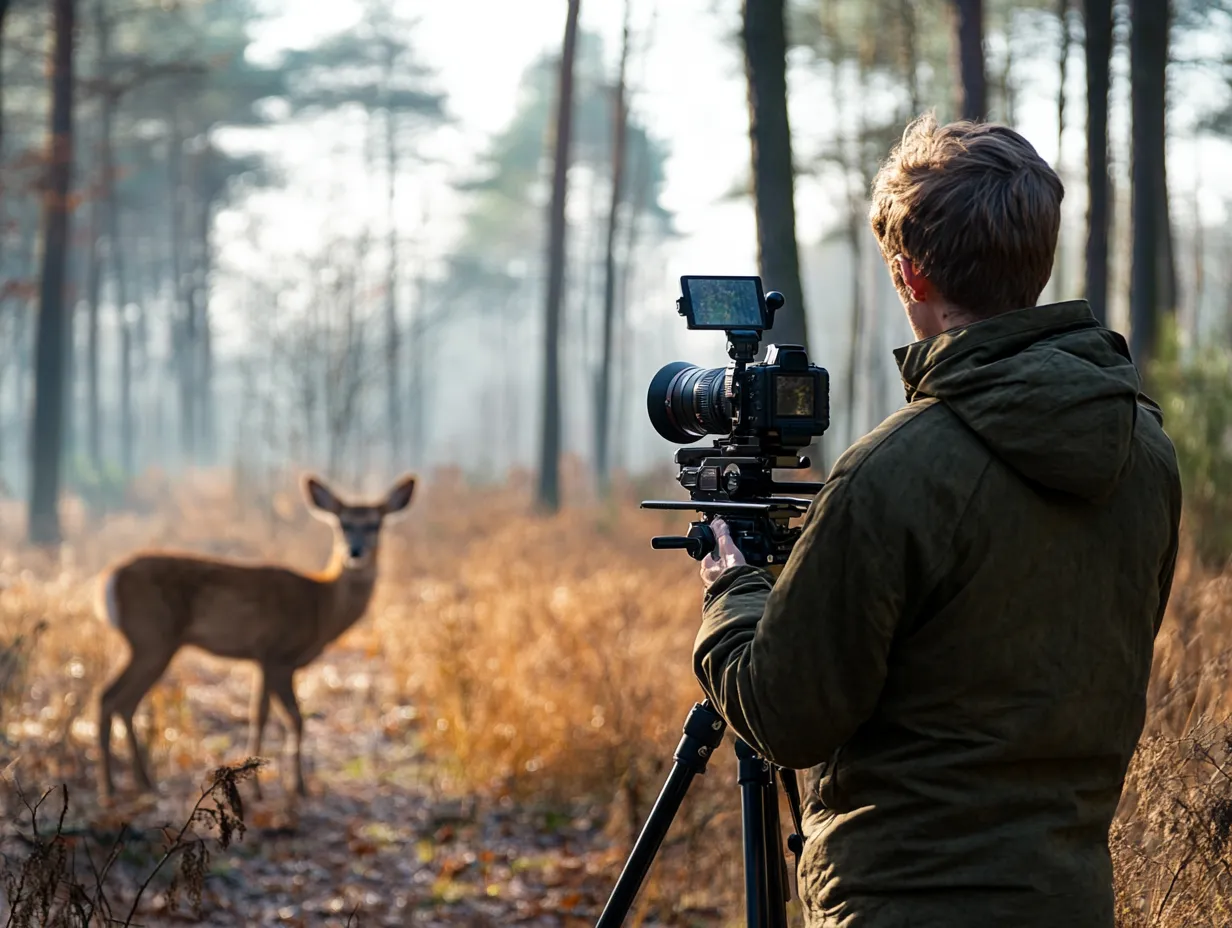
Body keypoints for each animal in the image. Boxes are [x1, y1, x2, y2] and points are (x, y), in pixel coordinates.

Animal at [96, 473, 413, 798]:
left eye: (376, 524)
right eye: (343, 524)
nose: (355, 552)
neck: (321, 605)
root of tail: (108, 579)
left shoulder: (262, 658)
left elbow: (259, 716)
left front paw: (257, 787)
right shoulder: (279, 655)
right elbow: (295, 719)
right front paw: (297, 787)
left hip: (151, 643)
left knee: (122, 701)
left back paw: (141, 782)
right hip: (152, 638)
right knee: (110, 697)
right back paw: (111, 787)